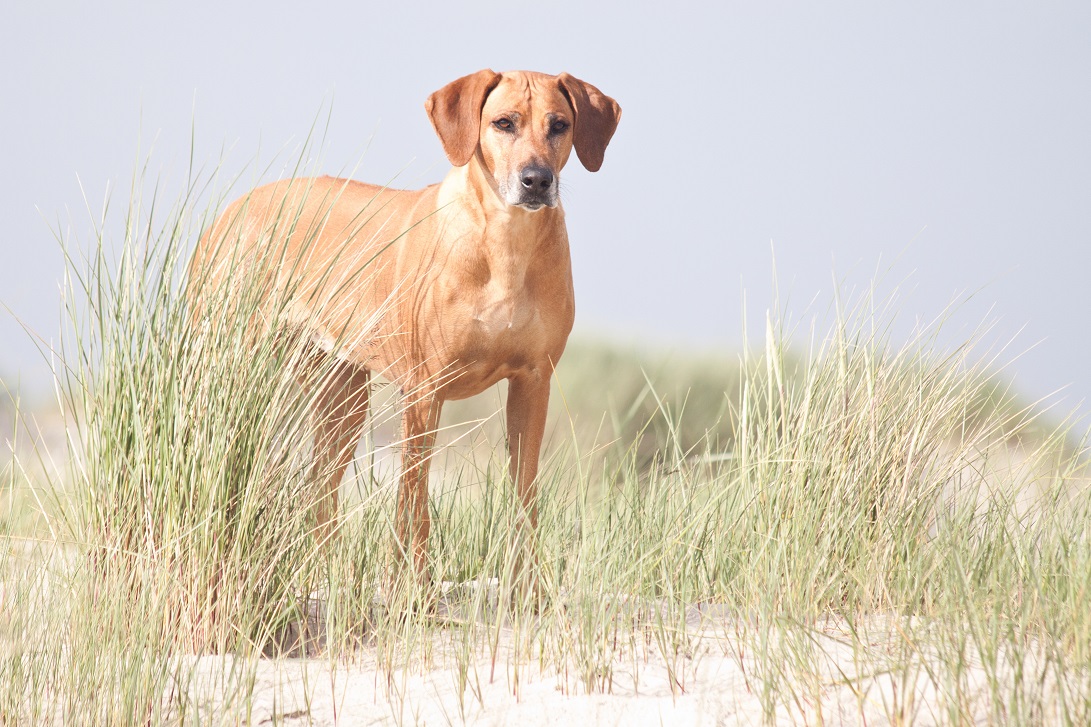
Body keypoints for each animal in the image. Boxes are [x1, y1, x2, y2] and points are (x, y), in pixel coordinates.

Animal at [190, 70, 624, 576]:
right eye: (504, 123)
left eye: (559, 125)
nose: (536, 180)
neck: (505, 243)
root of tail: (232, 210)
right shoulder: (423, 390)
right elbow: (413, 502)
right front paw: (412, 584)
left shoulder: (534, 382)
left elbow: (523, 498)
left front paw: (525, 586)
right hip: (226, 365)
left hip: (343, 396)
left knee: (320, 489)